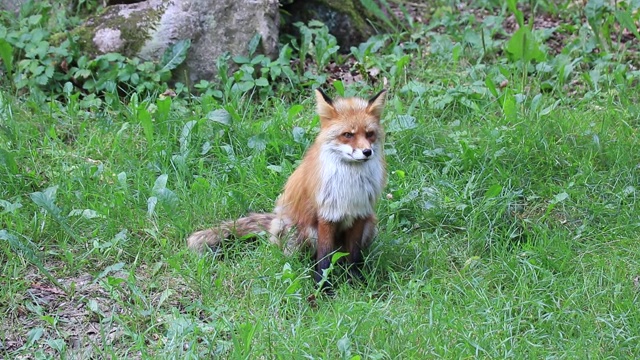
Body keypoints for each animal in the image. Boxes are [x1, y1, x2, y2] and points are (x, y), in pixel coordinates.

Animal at [188, 89, 388, 290]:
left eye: (369, 134)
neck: (351, 185)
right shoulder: (327, 215)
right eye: (348, 134)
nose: (367, 152)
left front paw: (356, 282)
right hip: (301, 232)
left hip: (371, 224)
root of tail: (275, 219)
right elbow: (324, 259)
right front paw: (322, 288)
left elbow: (354, 257)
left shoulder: (360, 214)